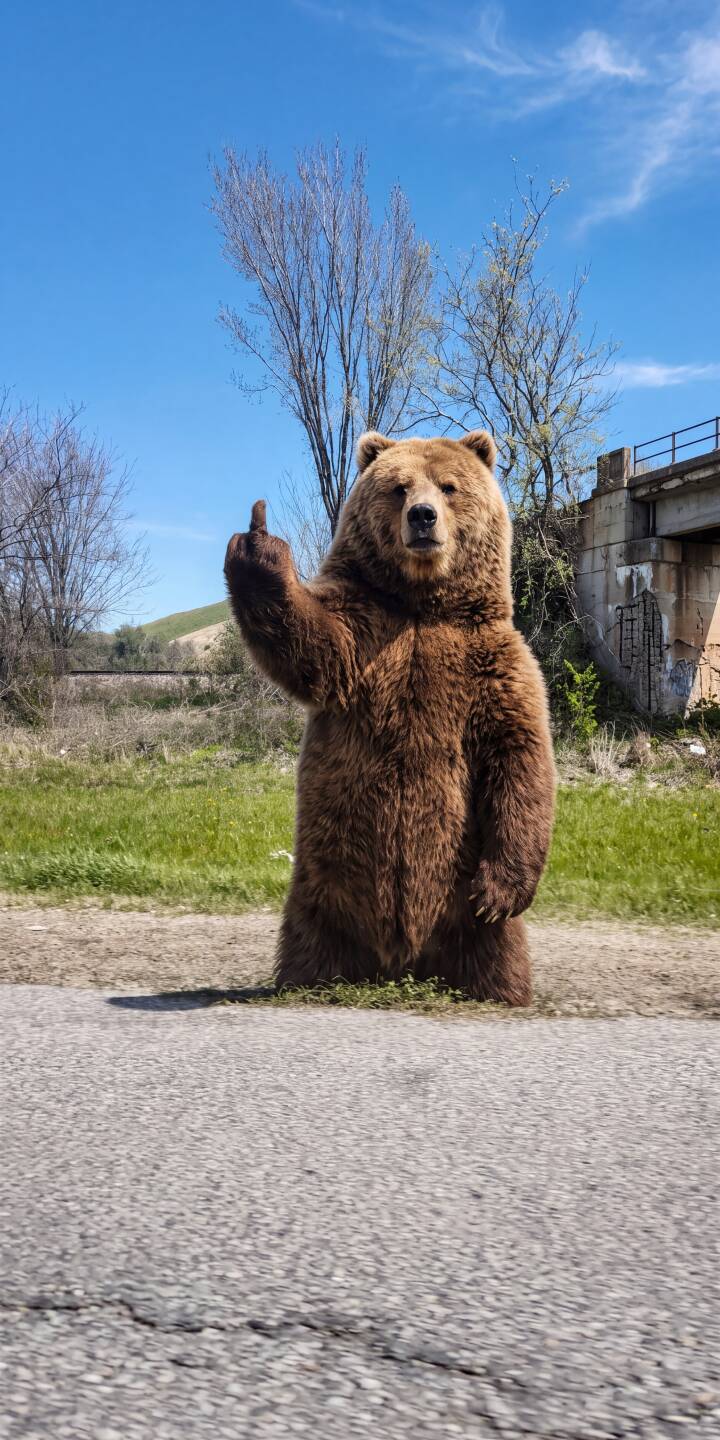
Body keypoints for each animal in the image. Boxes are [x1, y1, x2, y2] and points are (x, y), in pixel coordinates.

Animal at [224, 430, 555, 1005]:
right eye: (400, 487)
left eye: (448, 486)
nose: (423, 516)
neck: (421, 604)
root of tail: (403, 960)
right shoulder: (364, 629)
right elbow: (312, 647)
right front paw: (258, 541)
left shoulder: (495, 666)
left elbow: (518, 754)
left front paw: (501, 890)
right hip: (325, 875)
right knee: (314, 930)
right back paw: (309, 978)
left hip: (458, 887)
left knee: (493, 943)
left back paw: (500, 988)